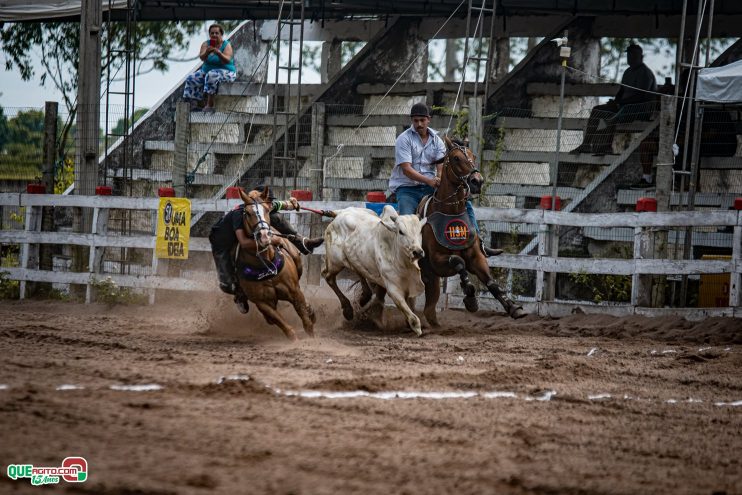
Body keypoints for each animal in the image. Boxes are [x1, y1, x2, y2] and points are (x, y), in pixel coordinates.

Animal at [235, 187, 316, 340]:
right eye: (247, 213)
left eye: (267, 210)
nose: (264, 236)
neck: (266, 267)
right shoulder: (263, 303)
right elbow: (284, 326)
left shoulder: (294, 291)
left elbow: (306, 320)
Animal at [322, 205, 428, 338]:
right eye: (401, 232)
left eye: (420, 231)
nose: (417, 252)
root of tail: (339, 213)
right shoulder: (393, 289)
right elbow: (412, 317)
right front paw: (417, 330)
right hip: (335, 262)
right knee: (328, 277)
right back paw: (348, 310)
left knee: (358, 272)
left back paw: (364, 297)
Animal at [418, 136, 528, 328]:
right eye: (456, 158)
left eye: (473, 156)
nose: (477, 181)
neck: (450, 214)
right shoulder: (437, 261)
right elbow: (459, 262)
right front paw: (470, 297)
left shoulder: (477, 256)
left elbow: (491, 283)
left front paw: (514, 308)